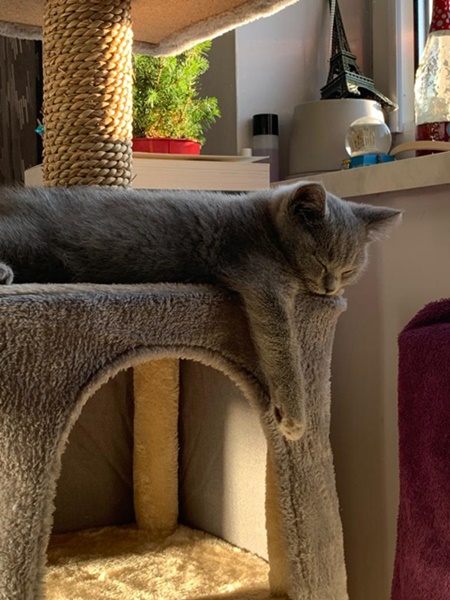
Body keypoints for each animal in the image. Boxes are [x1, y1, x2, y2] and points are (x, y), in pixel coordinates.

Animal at [0, 182, 401, 440]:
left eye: (349, 269)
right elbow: (282, 345)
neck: (267, 228)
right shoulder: (262, 279)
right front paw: (293, 418)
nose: (331, 287)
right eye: (321, 261)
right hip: (31, 241)